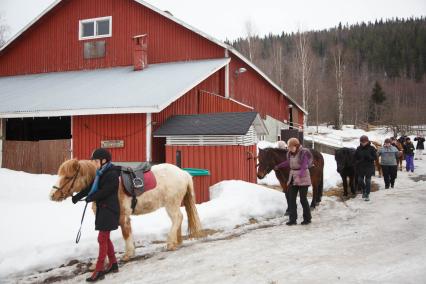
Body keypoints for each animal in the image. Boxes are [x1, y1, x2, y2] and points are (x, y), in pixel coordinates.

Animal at [50, 159, 203, 260]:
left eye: (68, 176)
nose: (52, 195)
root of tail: (183, 173)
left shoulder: (122, 216)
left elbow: (126, 233)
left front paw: (129, 254)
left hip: (171, 204)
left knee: (177, 218)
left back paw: (171, 243)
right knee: (178, 219)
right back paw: (177, 241)